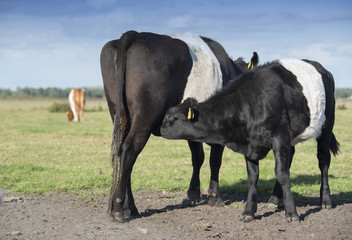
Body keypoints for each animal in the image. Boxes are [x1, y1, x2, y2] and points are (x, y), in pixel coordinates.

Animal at [100, 31, 258, 222]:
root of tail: (135, 34)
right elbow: (215, 160)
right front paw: (214, 196)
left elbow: (197, 157)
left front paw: (193, 193)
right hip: (145, 114)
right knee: (129, 149)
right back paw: (119, 208)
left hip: (117, 112)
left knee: (122, 153)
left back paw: (129, 207)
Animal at [161, 58, 340, 223]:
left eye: (170, 115)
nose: (159, 128)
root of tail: (321, 67)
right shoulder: (251, 144)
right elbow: (253, 177)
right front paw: (249, 212)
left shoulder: (280, 135)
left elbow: (282, 173)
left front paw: (292, 214)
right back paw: (274, 200)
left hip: (327, 126)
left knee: (323, 161)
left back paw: (325, 200)